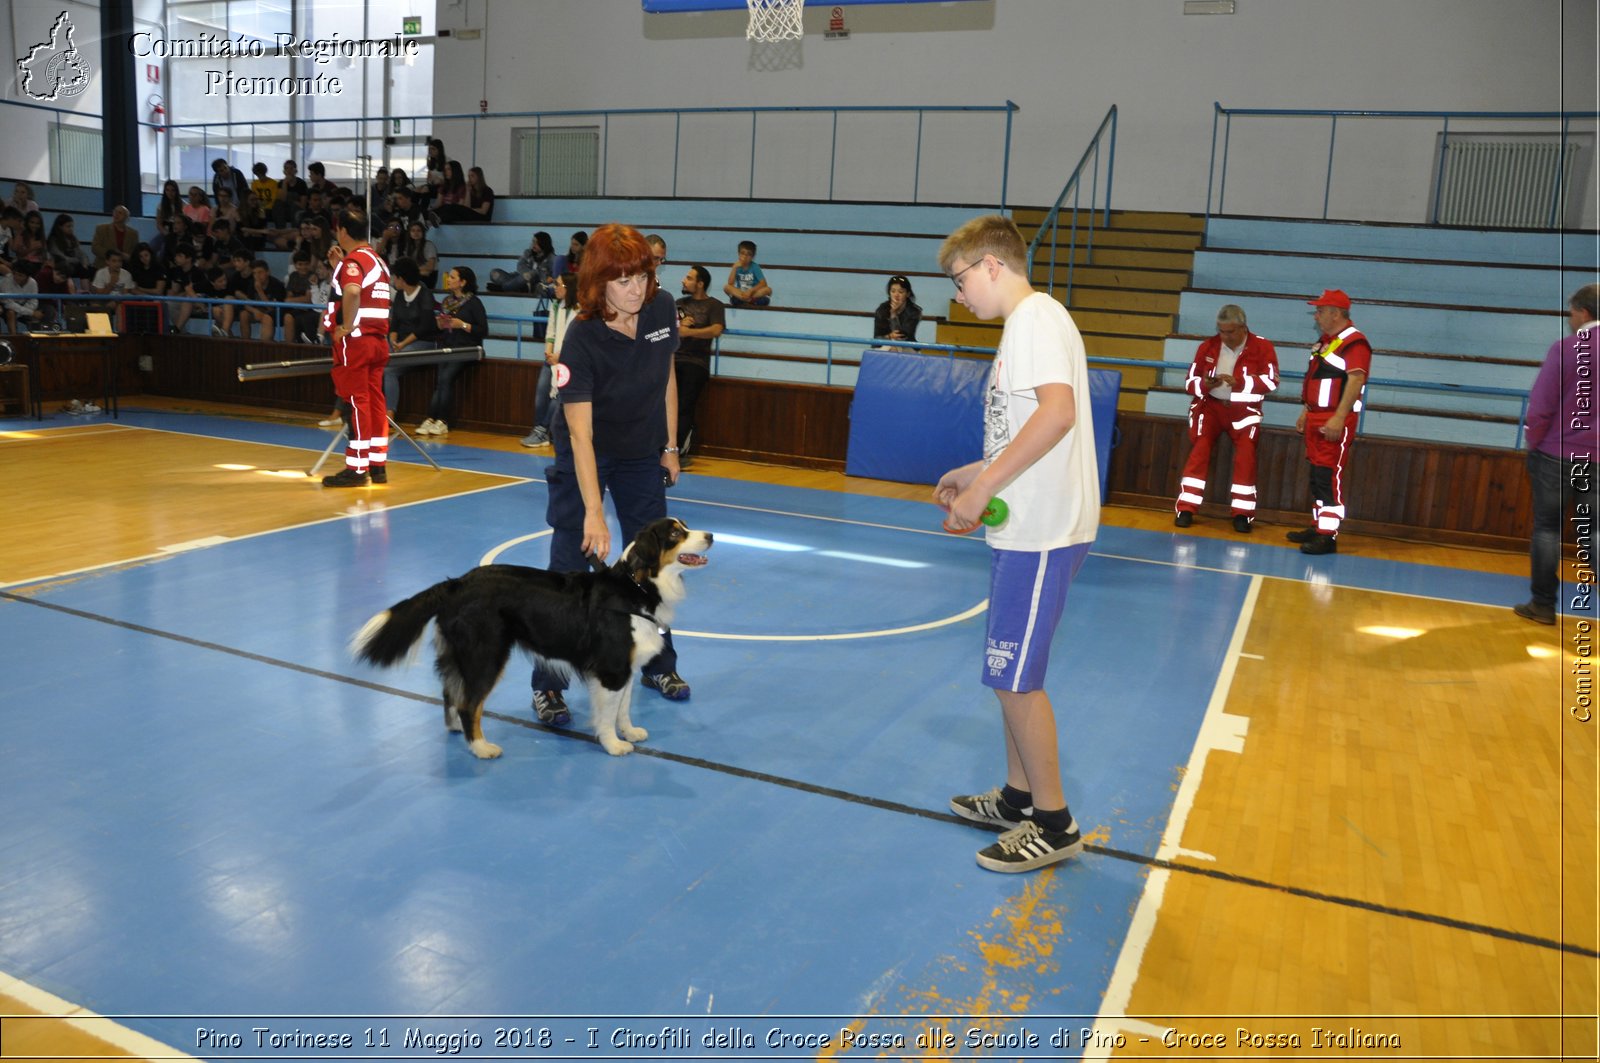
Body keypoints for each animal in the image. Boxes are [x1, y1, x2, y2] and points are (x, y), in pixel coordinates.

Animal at [363, 515, 720, 755]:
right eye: (675, 533)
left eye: (685, 526)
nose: (711, 535)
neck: (636, 586)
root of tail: (456, 584)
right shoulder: (612, 670)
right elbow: (607, 714)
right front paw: (613, 745)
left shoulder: (626, 668)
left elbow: (623, 707)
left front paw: (629, 732)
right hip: (486, 655)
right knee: (469, 703)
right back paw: (480, 747)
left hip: (460, 653)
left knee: (451, 692)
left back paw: (456, 730)